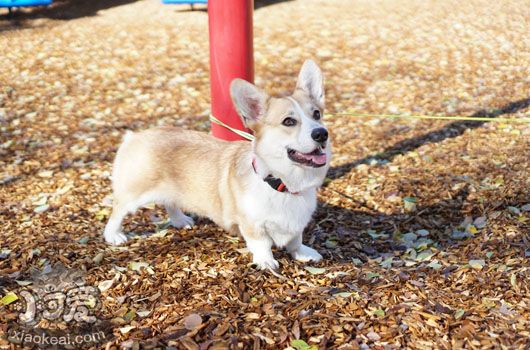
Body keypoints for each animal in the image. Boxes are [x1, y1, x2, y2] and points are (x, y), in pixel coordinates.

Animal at [103, 58, 330, 270]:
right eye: (288, 122)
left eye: (317, 114)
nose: (322, 134)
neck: (282, 184)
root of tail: (134, 136)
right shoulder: (252, 225)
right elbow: (261, 243)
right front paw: (266, 262)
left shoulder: (296, 226)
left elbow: (295, 241)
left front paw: (302, 253)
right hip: (134, 193)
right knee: (118, 210)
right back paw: (113, 235)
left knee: (169, 201)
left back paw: (179, 220)